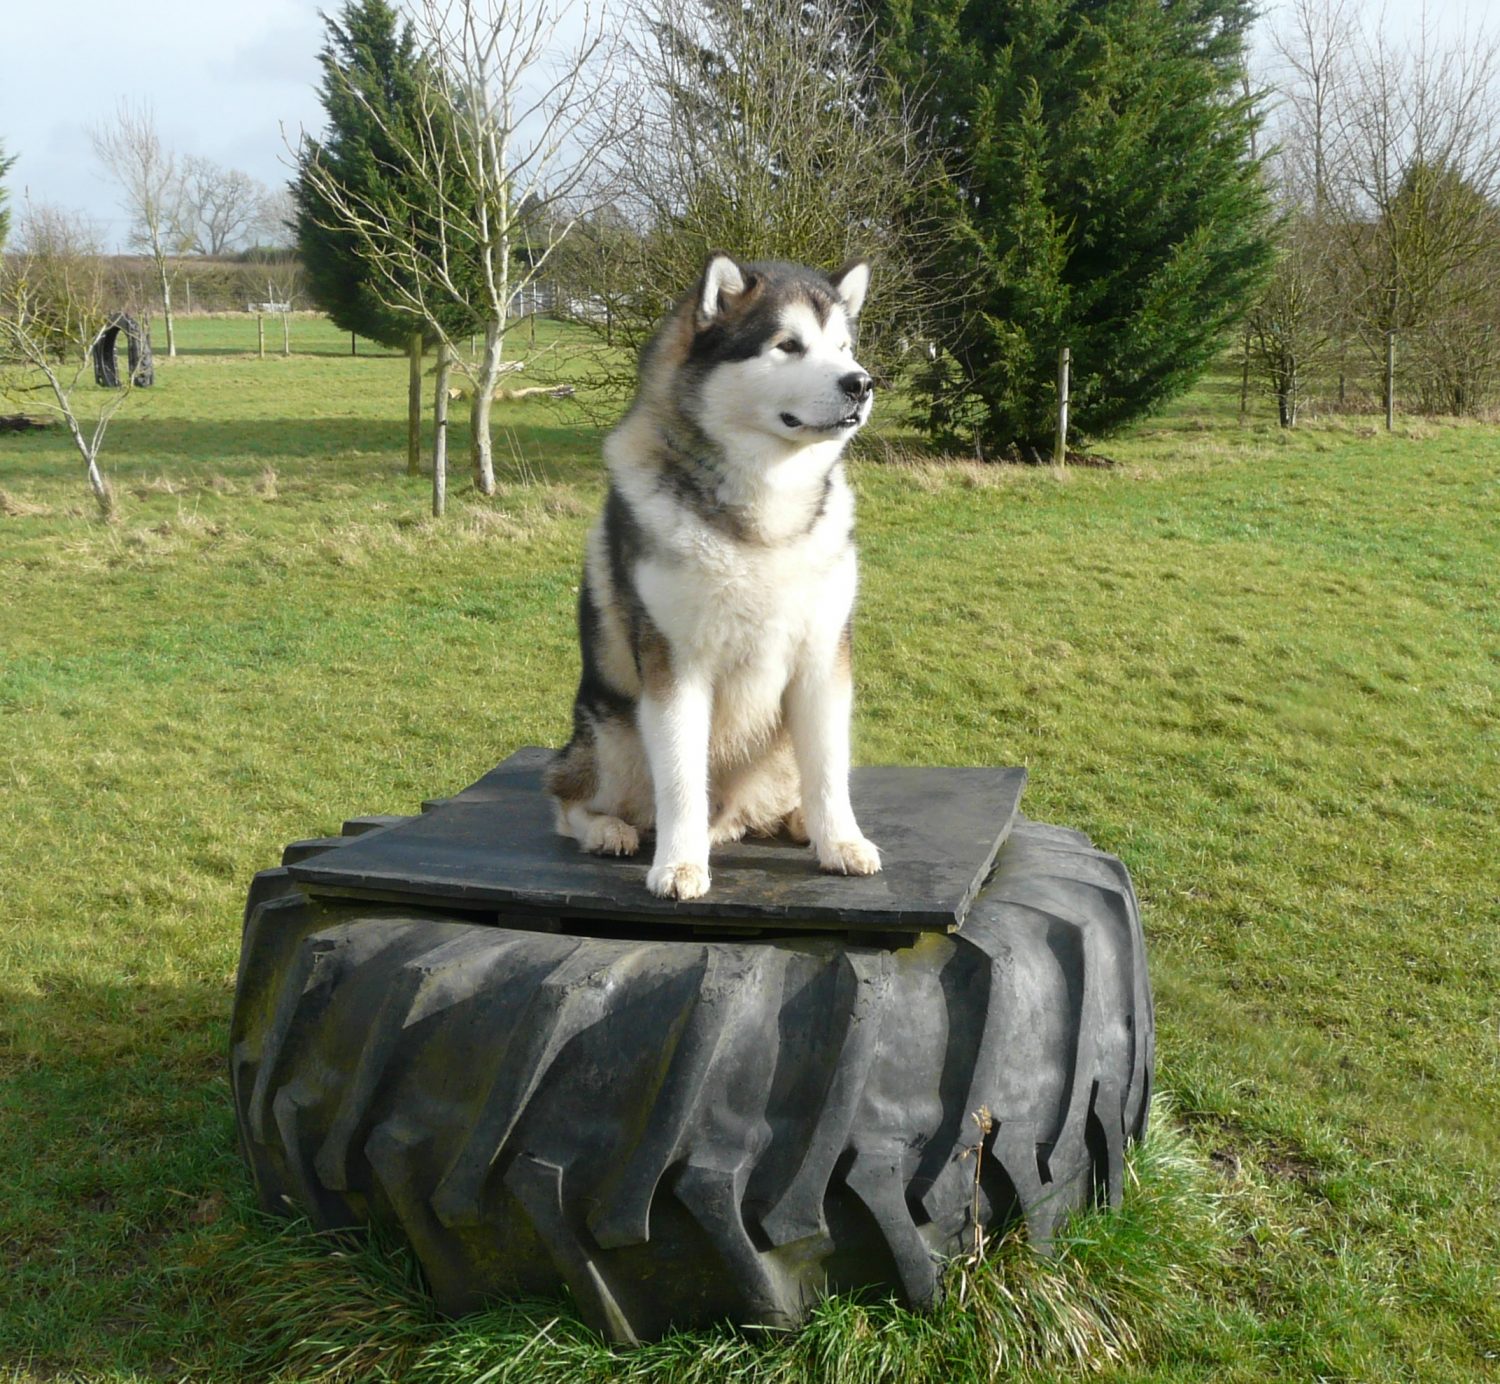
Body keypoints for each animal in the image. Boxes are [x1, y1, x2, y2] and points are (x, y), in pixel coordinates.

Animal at [544, 252, 882, 901]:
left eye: (845, 347)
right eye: (788, 345)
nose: (861, 382)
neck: (766, 514)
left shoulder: (824, 656)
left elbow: (829, 768)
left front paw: (841, 841)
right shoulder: (675, 662)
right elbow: (679, 778)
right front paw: (679, 864)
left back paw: (796, 821)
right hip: (612, 736)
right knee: (566, 799)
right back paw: (608, 829)